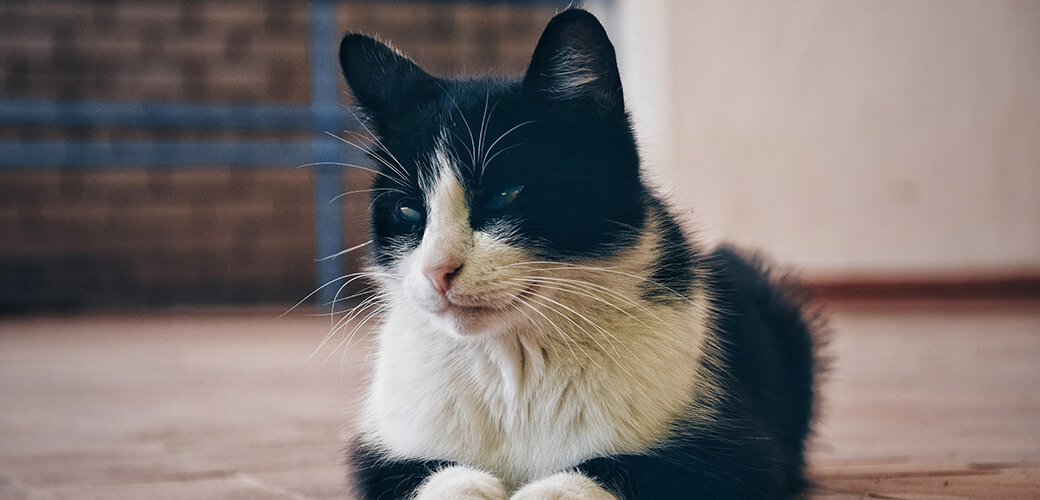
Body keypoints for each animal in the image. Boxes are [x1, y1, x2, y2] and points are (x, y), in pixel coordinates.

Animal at [336, 7, 815, 498]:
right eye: (409, 210)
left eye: (506, 195)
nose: (437, 270)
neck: (515, 368)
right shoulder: (381, 453)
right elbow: (428, 474)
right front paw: (469, 486)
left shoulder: (740, 455)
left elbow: (622, 470)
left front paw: (546, 488)